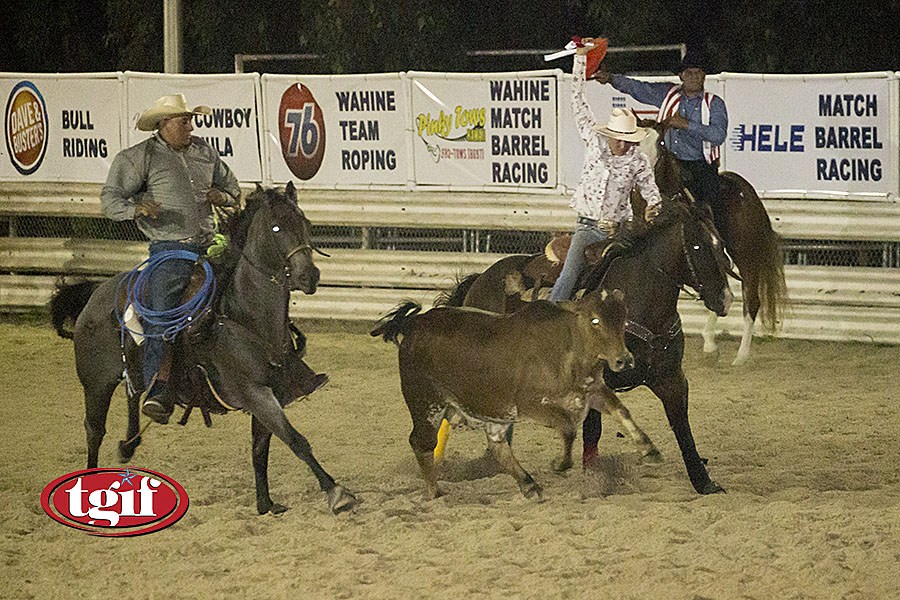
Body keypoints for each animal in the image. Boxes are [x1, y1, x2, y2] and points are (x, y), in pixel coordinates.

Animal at [640, 119, 788, 364]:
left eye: (660, 143)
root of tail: (748, 193)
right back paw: (710, 341)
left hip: (746, 255)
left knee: (751, 300)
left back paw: (741, 356)